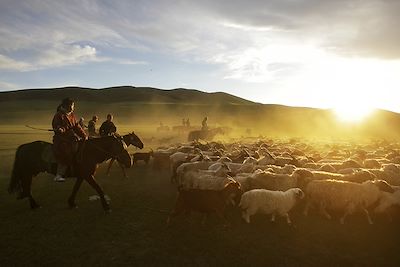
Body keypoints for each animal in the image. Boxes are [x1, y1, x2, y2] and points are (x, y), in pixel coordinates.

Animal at [8, 135, 138, 213]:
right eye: (119, 147)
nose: (130, 162)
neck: (90, 152)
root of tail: (23, 147)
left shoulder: (82, 176)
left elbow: (76, 188)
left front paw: (71, 203)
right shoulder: (87, 176)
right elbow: (99, 189)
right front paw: (106, 207)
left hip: (28, 174)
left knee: (26, 189)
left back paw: (34, 204)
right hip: (27, 174)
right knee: (27, 189)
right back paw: (34, 204)